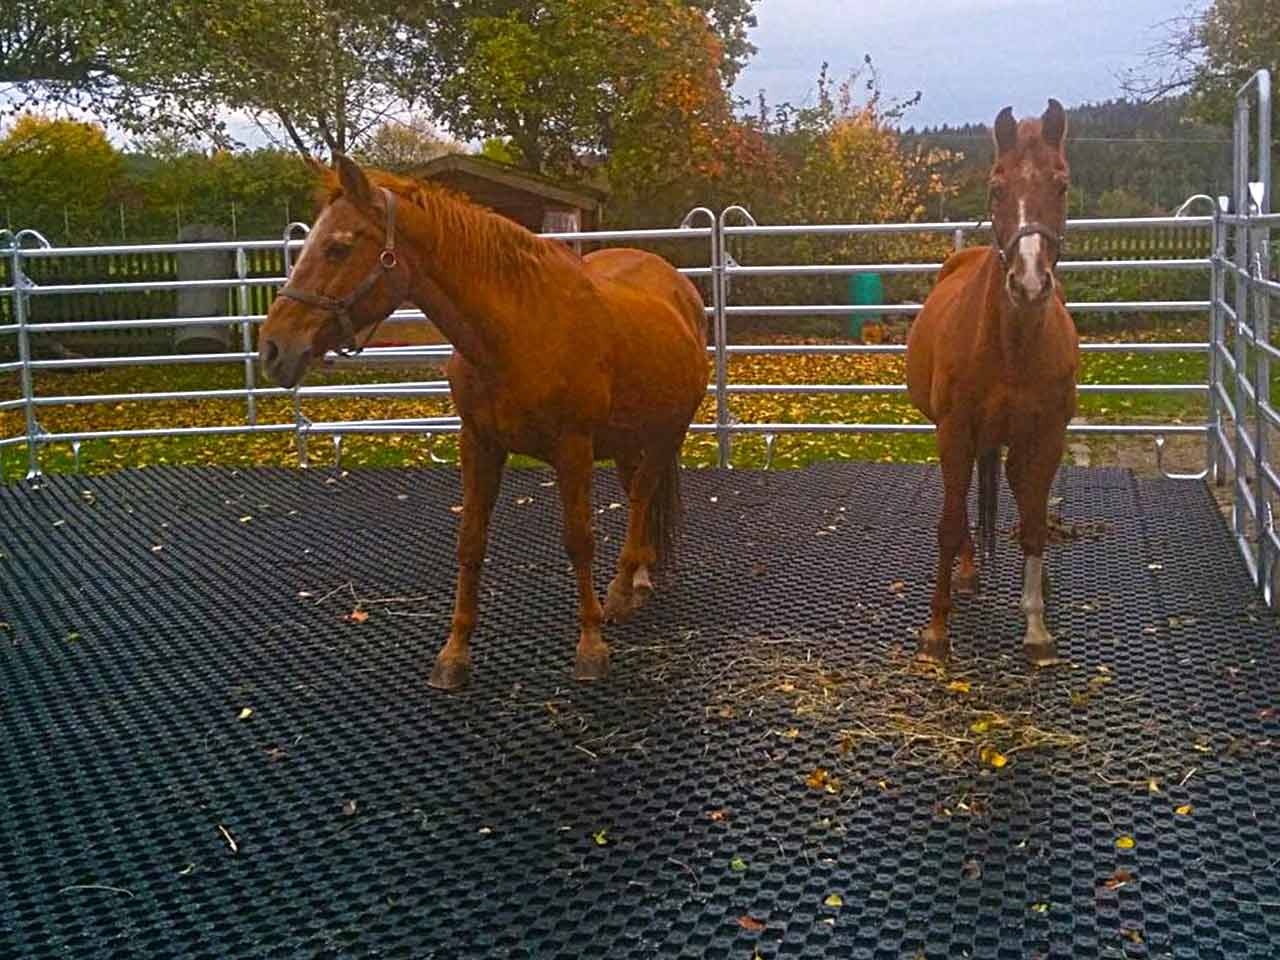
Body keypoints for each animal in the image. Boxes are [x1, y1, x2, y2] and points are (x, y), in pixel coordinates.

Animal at [258, 155, 709, 691]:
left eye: (338, 247)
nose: (273, 348)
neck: (515, 329)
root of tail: (679, 287)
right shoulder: (478, 443)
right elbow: (470, 543)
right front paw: (454, 654)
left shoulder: (573, 448)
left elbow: (578, 541)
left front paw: (591, 646)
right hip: (626, 440)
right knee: (639, 496)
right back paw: (637, 577)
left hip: (666, 434)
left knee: (641, 496)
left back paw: (620, 590)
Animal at [905, 99, 1079, 666]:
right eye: (997, 187)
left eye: (1061, 185)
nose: (1029, 283)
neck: (1012, 347)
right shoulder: (955, 432)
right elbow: (949, 523)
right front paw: (937, 630)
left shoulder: (1045, 437)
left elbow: (1033, 522)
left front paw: (1037, 628)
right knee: (961, 508)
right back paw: (966, 573)